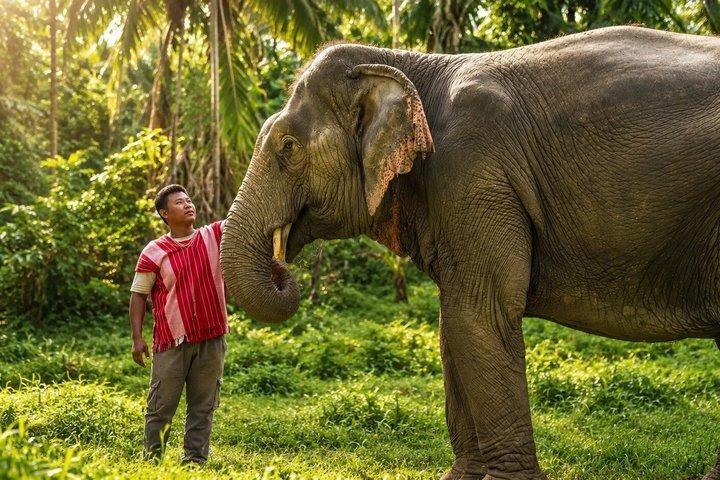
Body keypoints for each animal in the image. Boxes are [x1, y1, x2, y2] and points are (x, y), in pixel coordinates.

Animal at [219, 26, 720, 479]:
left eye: (288, 146)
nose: (282, 270)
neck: (410, 64)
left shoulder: (473, 174)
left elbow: (478, 317)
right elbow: (453, 327)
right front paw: (461, 476)